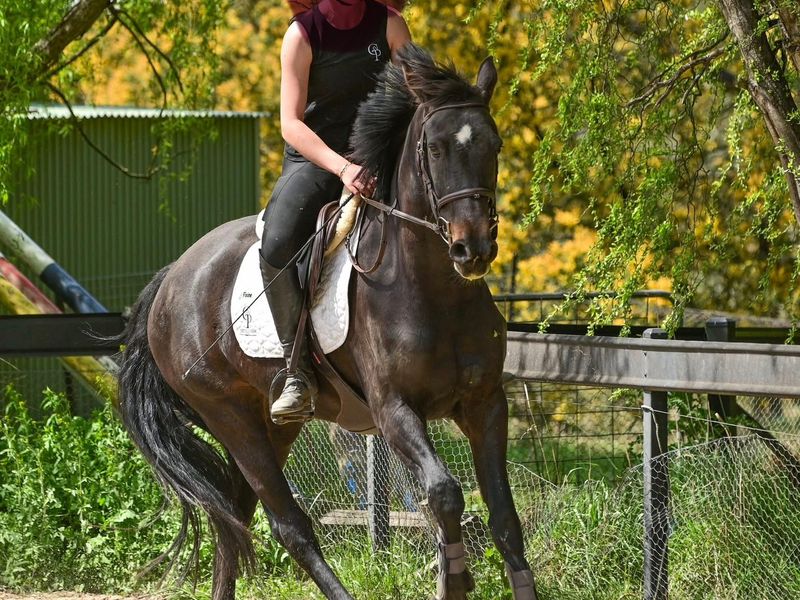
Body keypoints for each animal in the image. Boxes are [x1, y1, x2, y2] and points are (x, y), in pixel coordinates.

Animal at [117, 44, 538, 600]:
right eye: (435, 149)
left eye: (495, 144)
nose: (473, 249)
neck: (435, 290)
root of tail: (171, 278)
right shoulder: (394, 410)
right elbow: (444, 494)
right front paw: (455, 577)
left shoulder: (485, 403)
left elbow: (505, 517)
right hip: (229, 416)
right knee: (286, 525)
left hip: (270, 423)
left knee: (234, 516)